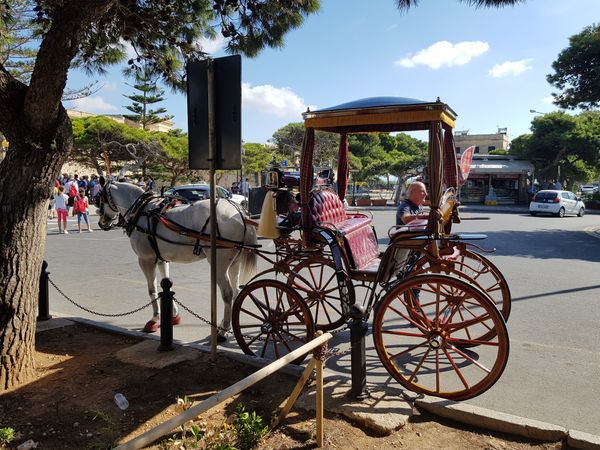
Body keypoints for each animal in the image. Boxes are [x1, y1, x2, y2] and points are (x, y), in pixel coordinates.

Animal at [97, 180, 256, 342]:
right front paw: (174, 315)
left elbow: (152, 290)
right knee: (236, 291)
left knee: (227, 294)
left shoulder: (146, 259)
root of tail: (240, 214)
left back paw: (223, 331)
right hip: (235, 262)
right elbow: (166, 284)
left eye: (99, 198)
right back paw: (229, 326)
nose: (102, 222)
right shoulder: (161, 259)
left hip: (219, 263)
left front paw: (154, 319)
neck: (142, 210)